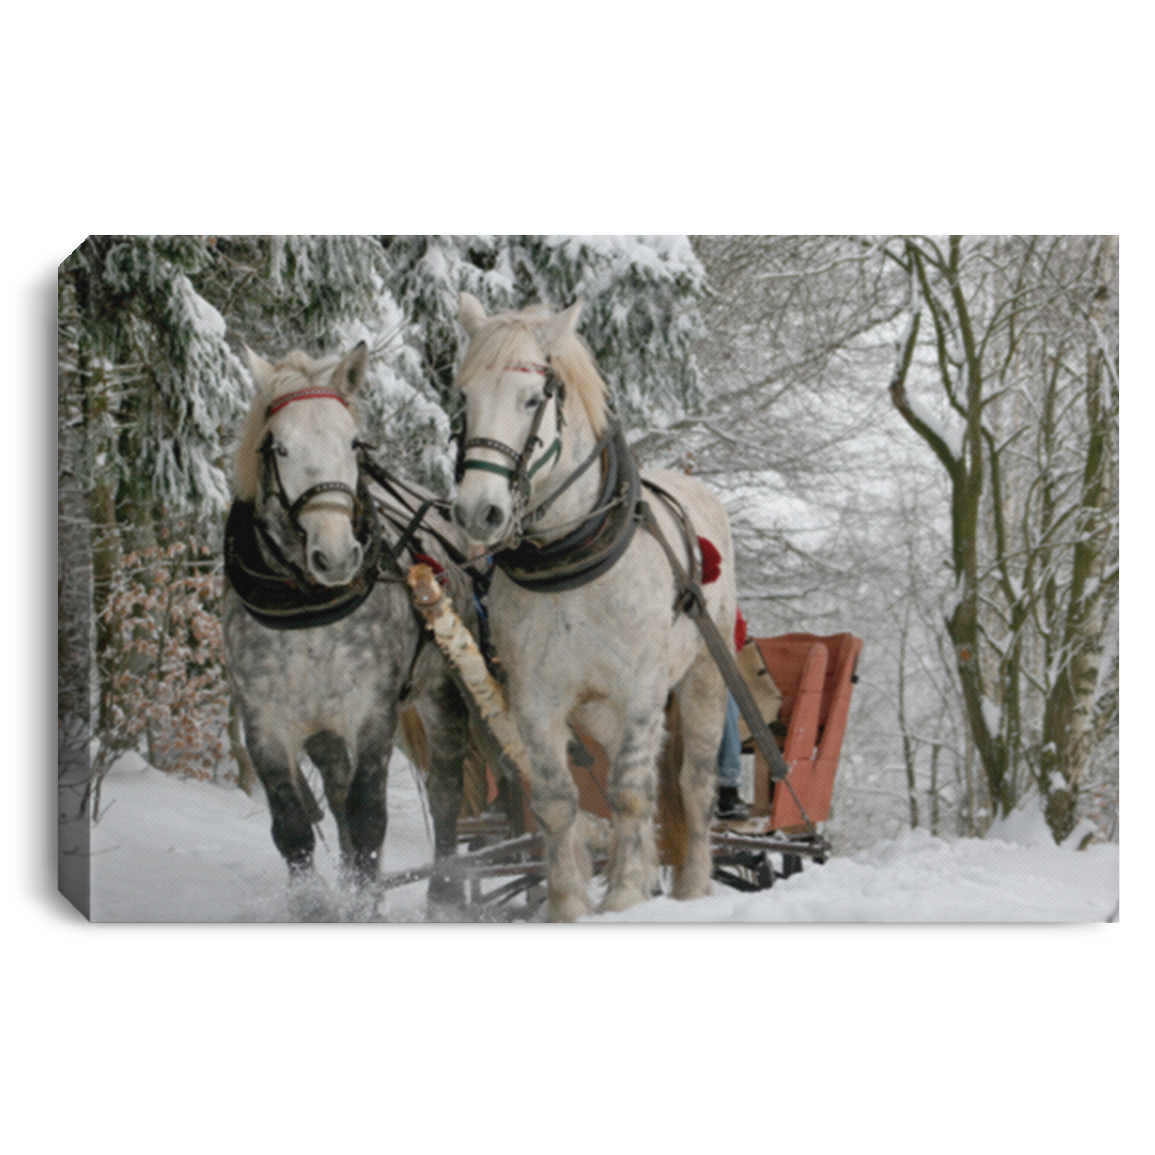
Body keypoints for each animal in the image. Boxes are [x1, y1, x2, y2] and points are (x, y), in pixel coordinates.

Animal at [223, 341, 476, 919]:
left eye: (354, 442)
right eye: (280, 448)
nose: (336, 555)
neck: (306, 607)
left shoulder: (372, 711)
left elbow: (369, 817)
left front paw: (364, 902)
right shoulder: (265, 721)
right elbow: (293, 827)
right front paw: (317, 904)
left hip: (443, 694)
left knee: (446, 789)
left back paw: (445, 892)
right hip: (324, 728)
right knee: (336, 800)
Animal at [451, 294, 737, 921]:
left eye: (532, 398)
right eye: (464, 398)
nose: (478, 512)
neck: (571, 558)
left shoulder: (642, 687)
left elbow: (628, 792)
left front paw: (627, 893)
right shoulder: (535, 698)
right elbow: (559, 801)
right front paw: (569, 901)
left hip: (704, 676)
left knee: (692, 782)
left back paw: (692, 885)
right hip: (598, 712)